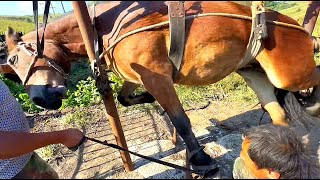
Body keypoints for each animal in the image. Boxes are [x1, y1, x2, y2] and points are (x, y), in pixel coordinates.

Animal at [2, 0, 320, 173]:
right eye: (12, 70)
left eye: (15, 59)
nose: (42, 100)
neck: (112, 24)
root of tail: (294, 27)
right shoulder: (136, 77)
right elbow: (126, 99)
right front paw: (151, 106)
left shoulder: (157, 76)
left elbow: (181, 120)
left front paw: (200, 158)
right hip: (255, 73)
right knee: (278, 113)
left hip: (288, 75)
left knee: (312, 79)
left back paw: (312, 102)